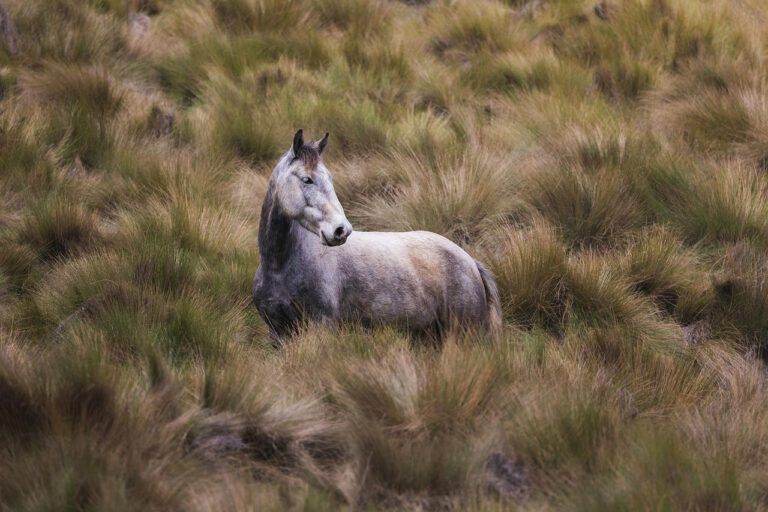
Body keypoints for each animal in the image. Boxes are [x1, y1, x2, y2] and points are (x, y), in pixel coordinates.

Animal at [252, 129, 502, 341]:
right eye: (307, 179)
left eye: (330, 178)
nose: (341, 230)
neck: (279, 267)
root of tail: (470, 262)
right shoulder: (278, 333)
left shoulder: (321, 326)